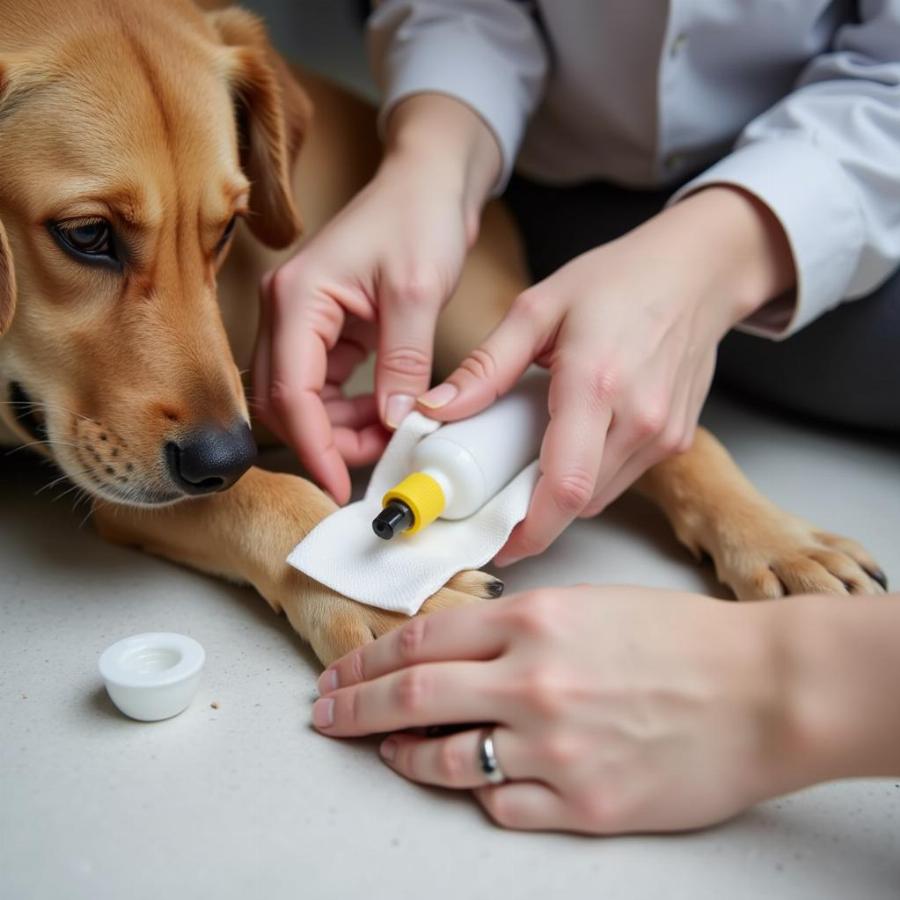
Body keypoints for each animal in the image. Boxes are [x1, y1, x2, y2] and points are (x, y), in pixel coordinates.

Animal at [0, 1, 884, 668]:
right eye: (85, 235)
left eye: (225, 230)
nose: (225, 455)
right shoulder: (119, 480)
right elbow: (269, 493)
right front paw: (377, 591)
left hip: (480, 317)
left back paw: (776, 537)